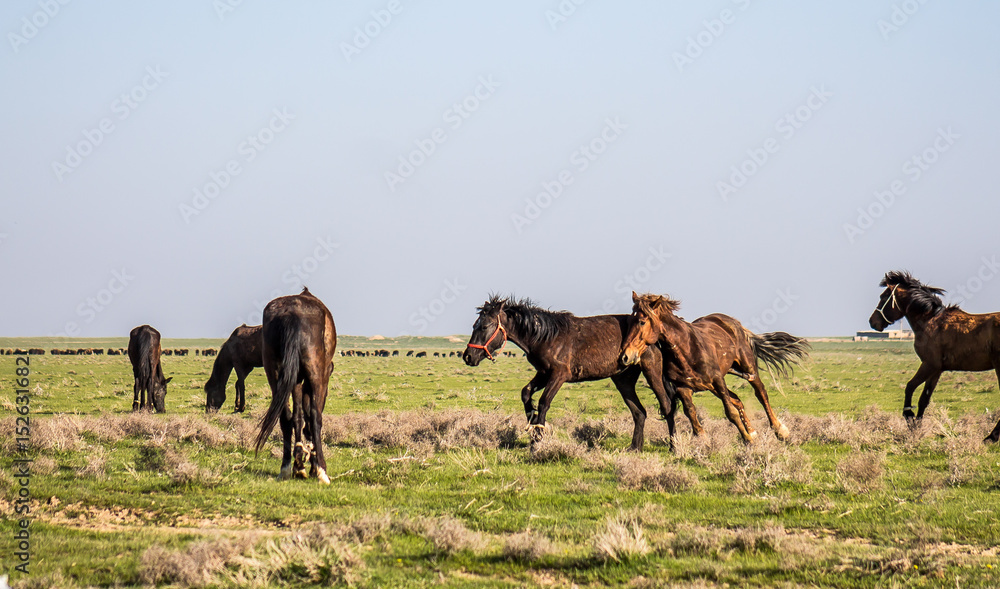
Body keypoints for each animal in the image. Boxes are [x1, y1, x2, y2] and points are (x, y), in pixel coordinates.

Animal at [253, 288, 337, 483]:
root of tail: (292, 314)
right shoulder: (321, 377)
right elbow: (310, 416)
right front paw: (312, 464)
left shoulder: (296, 380)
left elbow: (298, 416)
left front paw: (300, 463)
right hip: (316, 372)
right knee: (315, 416)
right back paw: (322, 470)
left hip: (275, 373)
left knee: (285, 416)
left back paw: (286, 467)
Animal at [463, 295, 699, 452]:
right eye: (474, 324)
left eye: (484, 326)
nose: (468, 356)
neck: (546, 336)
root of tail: (656, 333)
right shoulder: (543, 373)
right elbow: (526, 393)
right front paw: (531, 421)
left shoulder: (558, 375)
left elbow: (544, 402)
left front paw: (537, 439)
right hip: (623, 379)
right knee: (639, 412)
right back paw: (635, 448)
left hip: (652, 372)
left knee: (667, 407)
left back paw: (673, 448)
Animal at [620, 292, 809, 443]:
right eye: (629, 321)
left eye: (642, 322)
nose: (625, 356)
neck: (686, 349)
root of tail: (733, 322)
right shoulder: (683, 388)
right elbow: (691, 413)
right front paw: (703, 439)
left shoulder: (717, 380)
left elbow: (730, 412)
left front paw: (748, 440)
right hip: (713, 385)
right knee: (737, 399)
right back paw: (753, 431)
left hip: (747, 369)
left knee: (761, 393)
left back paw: (779, 430)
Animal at [869, 270, 1000, 442]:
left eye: (883, 297)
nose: (872, 322)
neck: (930, 321)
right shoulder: (936, 370)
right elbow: (924, 399)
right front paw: (917, 427)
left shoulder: (929, 364)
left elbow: (909, 387)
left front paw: (909, 417)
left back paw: (990, 437)